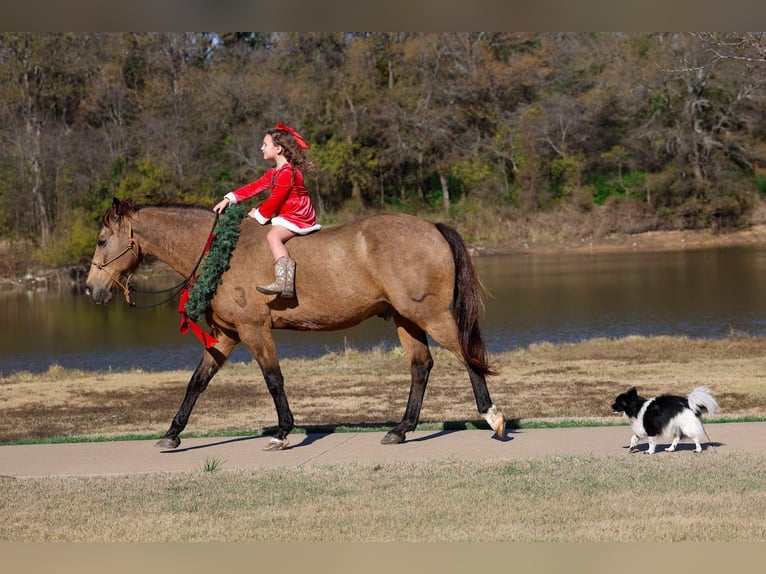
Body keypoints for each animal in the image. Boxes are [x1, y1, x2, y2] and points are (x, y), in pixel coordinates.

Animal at [85, 198, 506, 450]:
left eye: (103, 240)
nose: (91, 289)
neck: (221, 252)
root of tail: (432, 227)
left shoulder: (254, 330)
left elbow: (273, 379)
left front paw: (284, 431)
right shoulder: (227, 335)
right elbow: (196, 382)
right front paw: (172, 434)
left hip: (431, 317)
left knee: (468, 357)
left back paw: (493, 416)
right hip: (407, 319)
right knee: (422, 367)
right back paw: (401, 429)